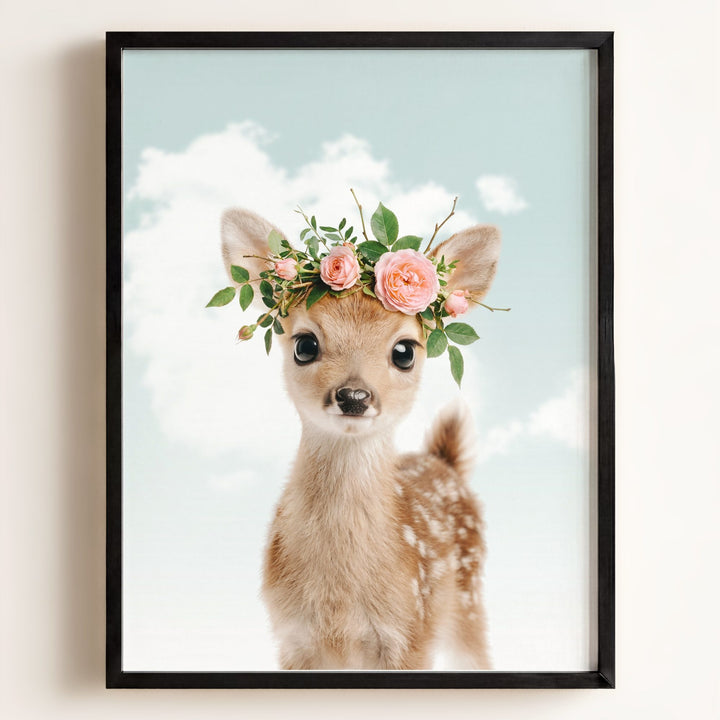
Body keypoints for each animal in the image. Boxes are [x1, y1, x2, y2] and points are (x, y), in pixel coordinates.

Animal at [220, 207, 501, 670]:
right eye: (305, 345)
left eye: (404, 351)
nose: (354, 396)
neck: (339, 601)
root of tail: (444, 461)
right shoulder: (292, 638)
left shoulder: (411, 633)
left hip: (468, 600)